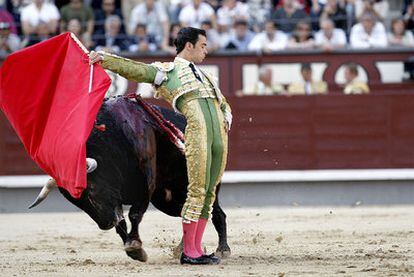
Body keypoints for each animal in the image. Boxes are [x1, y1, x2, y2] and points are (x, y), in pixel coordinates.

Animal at [51, 96, 230, 260]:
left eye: (91, 190)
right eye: (76, 202)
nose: (105, 224)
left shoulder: (145, 183)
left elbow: (134, 214)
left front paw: (134, 245)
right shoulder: (114, 198)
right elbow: (121, 223)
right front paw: (134, 250)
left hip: (205, 187)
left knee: (216, 213)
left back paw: (223, 249)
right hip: (164, 200)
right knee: (185, 212)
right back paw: (182, 248)